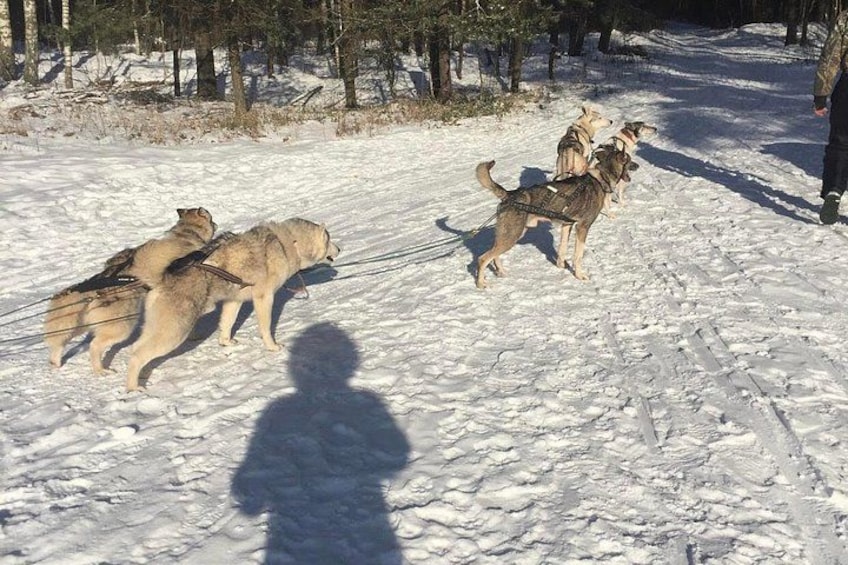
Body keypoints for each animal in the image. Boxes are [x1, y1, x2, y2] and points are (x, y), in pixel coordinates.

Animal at [43, 208, 217, 374]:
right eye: (210, 217)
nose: (215, 224)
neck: (186, 233)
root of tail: (90, 291)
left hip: (82, 324)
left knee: (59, 341)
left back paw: (55, 362)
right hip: (121, 327)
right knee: (94, 345)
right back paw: (100, 370)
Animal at [124, 218, 341, 391]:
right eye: (329, 239)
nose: (340, 249)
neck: (287, 243)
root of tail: (161, 279)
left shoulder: (233, 301)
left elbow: (227, 323)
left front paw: (226, 342)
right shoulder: (264, 297)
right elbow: (266, 327)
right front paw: (272, 346)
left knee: (136, 348)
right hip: (175, 331)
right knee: (136, 355)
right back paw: (134, 388)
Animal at [474, 146, 636, 288]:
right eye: (629, 159)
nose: (638, 165)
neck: (600, 177)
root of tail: (509, 194)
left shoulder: (567, 225)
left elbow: (562, 249)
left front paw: (560, 266)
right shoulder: (582, 227)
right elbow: (578, 256)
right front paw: (579, 275)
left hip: (510, 235)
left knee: (494, 255)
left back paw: (501, 272)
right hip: (511, 236)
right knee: (483, 258)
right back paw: (481, 283)